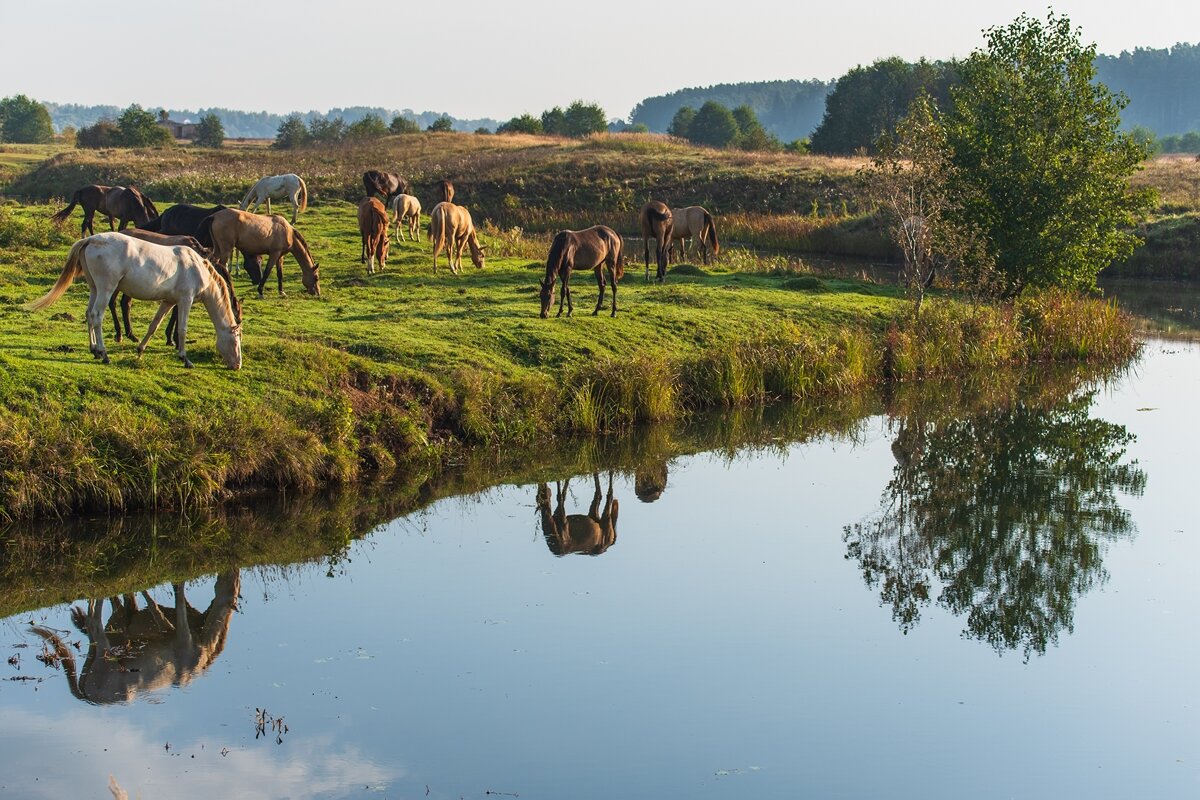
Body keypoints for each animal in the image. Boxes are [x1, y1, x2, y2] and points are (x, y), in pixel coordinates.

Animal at [26, 231, 241, 369]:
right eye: (237, 340)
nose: (237, 365)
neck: (197, 267)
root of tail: (90, 239)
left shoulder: (168, 302)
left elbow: (154, 325)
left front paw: (140, 350)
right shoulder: (185, 300)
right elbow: (182, 329)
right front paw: (184, 358)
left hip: (95, 289)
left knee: (88, 314)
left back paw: (94, 349)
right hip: (106, 289)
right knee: (96, 315)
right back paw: (104, 354)